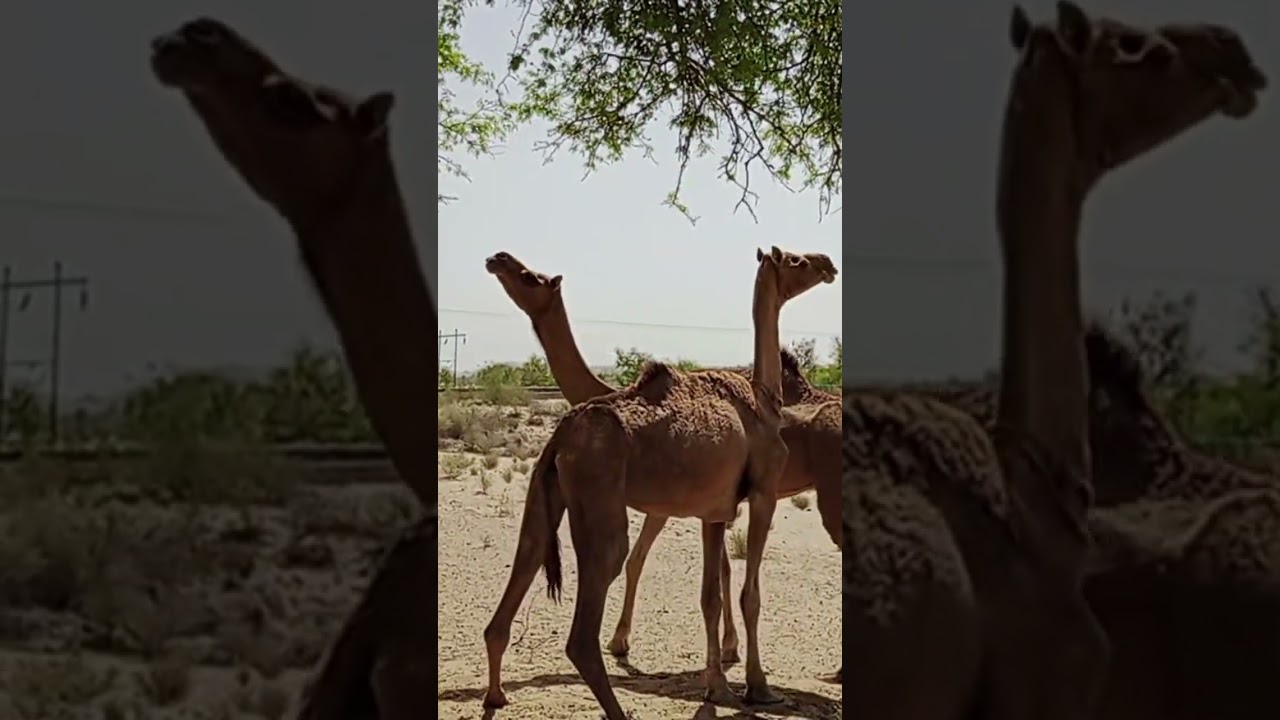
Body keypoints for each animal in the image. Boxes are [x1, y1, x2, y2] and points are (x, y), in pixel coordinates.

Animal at [482, 247, 837, 719]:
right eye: (796, 260)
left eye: (528, 276)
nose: (827, 264)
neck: (765, 399)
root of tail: (563, 431)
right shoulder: (757, 495)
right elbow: (742, 592)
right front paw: (755, 687)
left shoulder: (713, 507)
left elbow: (712, 591)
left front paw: (719, 684)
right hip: (595, 497)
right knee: (585, 617)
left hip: (550, 498)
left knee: (527, 563)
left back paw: (496, 695)